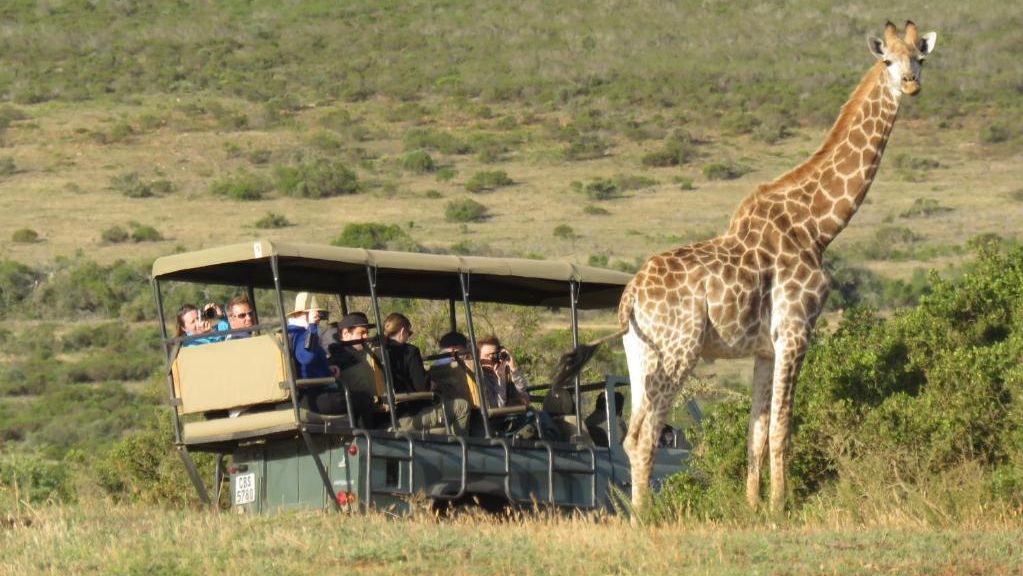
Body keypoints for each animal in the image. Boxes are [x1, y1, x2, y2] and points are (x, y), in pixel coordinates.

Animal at [617, 20, 937, 511]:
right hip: (679, 348)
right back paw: (644, 518)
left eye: (919, 58)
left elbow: (756, 432)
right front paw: (779, 508)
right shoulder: (795, 329)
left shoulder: (764, 348)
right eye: (887, 60)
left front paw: (752, 507)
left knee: (632, 433)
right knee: (648, 434)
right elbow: (783, 427)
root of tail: (631, 294)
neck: (817, 226)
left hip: (639, 352)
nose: (911, 84)